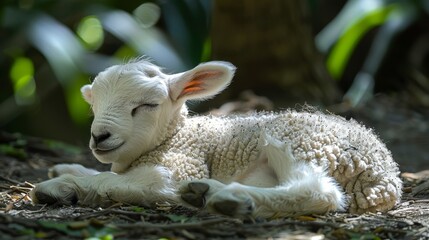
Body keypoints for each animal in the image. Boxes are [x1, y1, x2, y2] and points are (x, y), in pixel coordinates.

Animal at [29, 59, 402, 218]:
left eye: (147, 105)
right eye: (94, 104)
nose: (99, 136)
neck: (175, 136)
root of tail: (386, 178)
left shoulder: (181, 165)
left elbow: (112, 181)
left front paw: (59, 186)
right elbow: (104, 173)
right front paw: (66, 170)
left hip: (301, 145)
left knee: (317, 192)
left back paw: (226, 198)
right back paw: (212, 194)